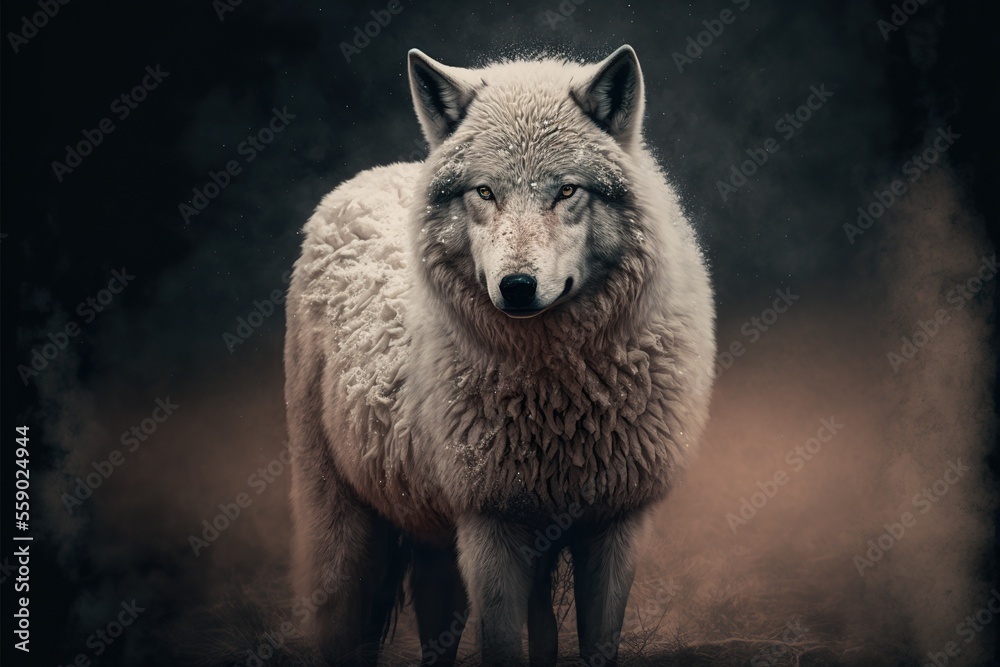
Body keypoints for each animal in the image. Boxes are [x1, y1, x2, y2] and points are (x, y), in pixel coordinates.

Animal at [284, 45, 715, 666]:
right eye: (485, 192)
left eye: (566, 191)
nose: (516, 286)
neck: (559, 396)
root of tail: (366, 178)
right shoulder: (490, 531)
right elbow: (505, 646)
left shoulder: (615, 527)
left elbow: (595, 643)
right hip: (349, 539)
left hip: (441, 549)